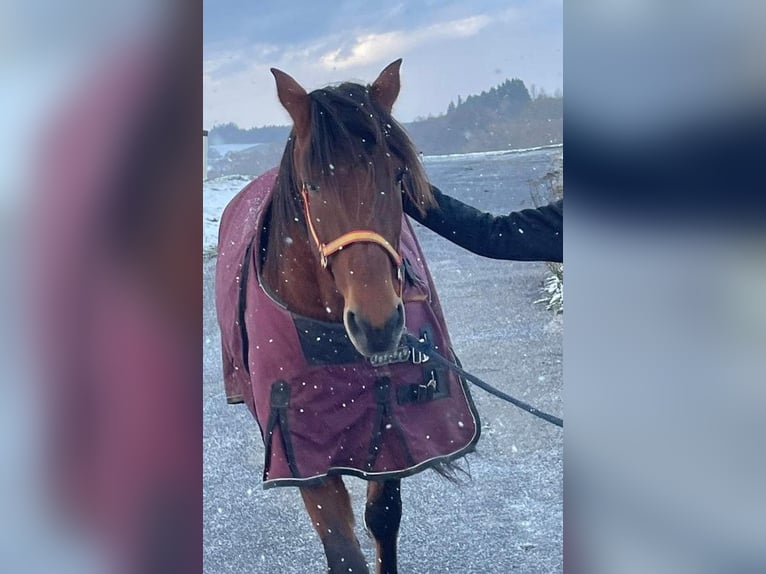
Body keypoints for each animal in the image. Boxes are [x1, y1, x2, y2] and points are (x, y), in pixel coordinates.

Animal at [214, 60, 480, 572]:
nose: (378, 326)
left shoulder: (391, 436)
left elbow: (384, 518)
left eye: (397, 177)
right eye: (311, 184)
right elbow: (343, 550)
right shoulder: (307, 459)